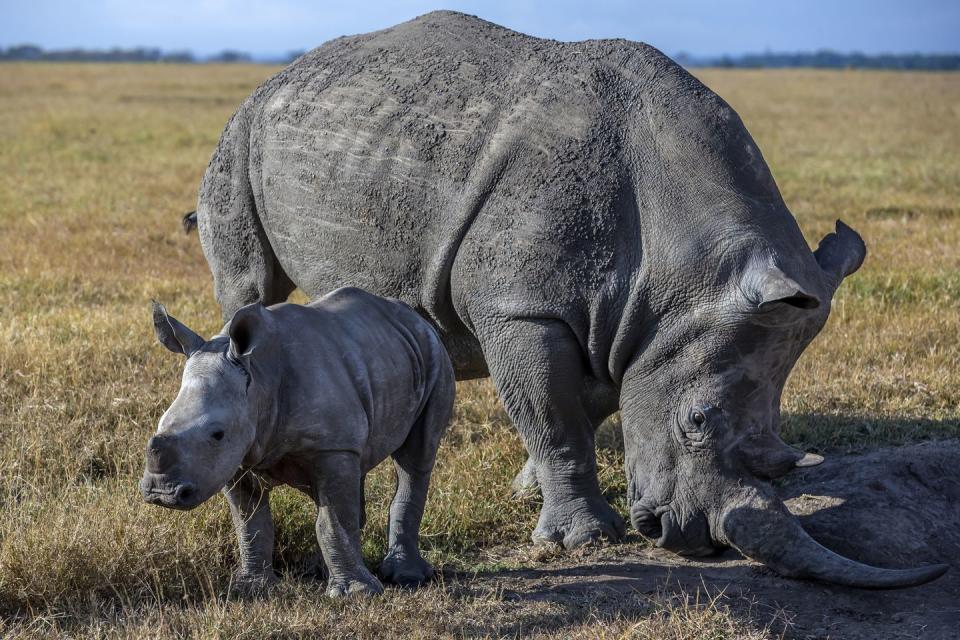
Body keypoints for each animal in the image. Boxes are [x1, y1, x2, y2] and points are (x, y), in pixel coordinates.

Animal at [141, 288, 456, 596]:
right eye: (161, 421)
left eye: (217, 433)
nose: (161, 493)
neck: (258, 378)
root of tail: (412, 315)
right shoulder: (234, 458)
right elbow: (250, 522)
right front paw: (251, 588)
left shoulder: (329, 445)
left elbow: (330, 521)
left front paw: (356, 594)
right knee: (352, 474)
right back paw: (320, 570)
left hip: (435, 355)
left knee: (416, 458)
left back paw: (406, 577)